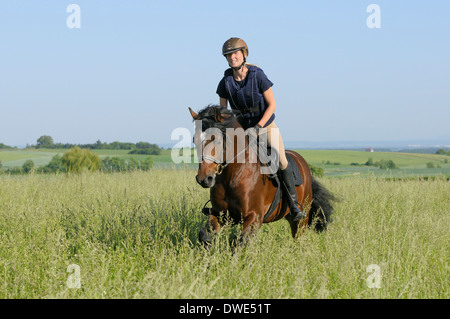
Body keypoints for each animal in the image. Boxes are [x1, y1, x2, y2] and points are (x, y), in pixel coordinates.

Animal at [188, 106, 336, 246]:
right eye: (195, 140)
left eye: (217, 141)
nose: (204, 179)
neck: (233, 176)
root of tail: (301, 161)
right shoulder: (219, 213)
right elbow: (205, 236)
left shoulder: (253, 217)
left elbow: (239, 242)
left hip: (302, 218)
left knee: (298, 237)